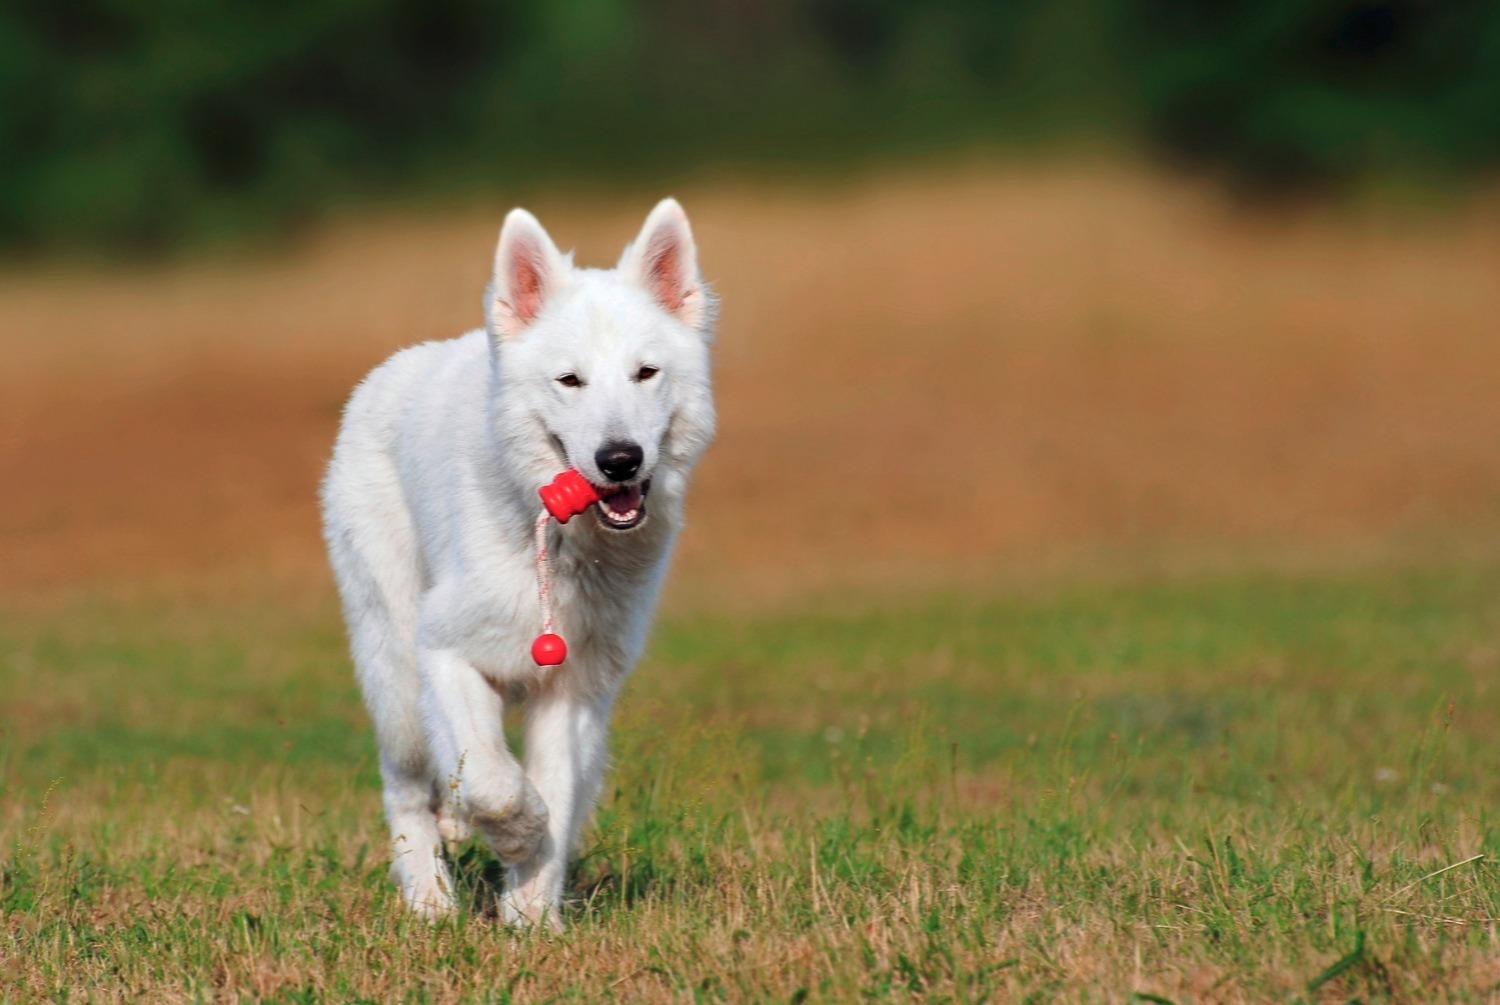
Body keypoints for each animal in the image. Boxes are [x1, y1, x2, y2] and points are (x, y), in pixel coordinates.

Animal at [321, 199, 714, 930]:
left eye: (645, 373)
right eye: (570, 381)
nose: (621, 459)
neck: (560, 546)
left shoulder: (574, 689)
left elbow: (554, 788)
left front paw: (532, 916)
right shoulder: (444, 652)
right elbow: (495, 782)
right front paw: (516, 835)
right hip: (395, 673)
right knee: (407, 787)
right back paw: (429, 901)